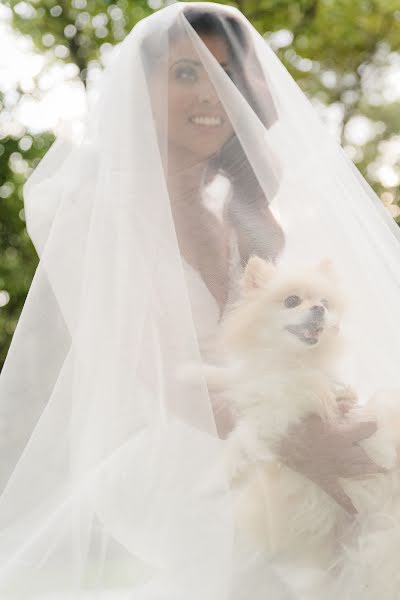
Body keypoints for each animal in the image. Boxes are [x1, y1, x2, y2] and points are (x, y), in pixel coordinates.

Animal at [186, 254, 400, 600]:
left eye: (324, 303)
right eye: (292, 301)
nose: (320, 310)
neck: (290, 361)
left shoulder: (288, 410)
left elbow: (244, 435)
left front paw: (211, 481)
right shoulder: (260, 383)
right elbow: (233, 380)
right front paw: (189, 372)